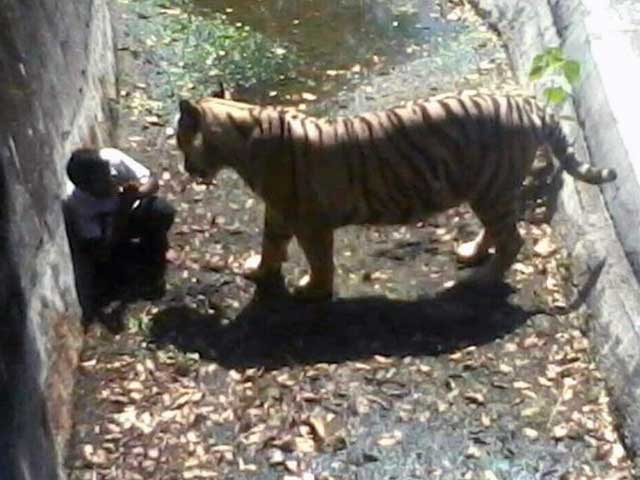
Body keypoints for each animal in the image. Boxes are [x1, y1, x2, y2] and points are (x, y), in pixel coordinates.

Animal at [176, 90, 616, 301]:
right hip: (487, 191)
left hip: (492, 190)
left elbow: (319, 261)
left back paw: (482, 278)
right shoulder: (280, 212)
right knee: (498, 232)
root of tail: (529, 105)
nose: (184, 168)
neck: (243, 135)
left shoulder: (309, 221)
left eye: (181, 140)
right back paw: (471, 254)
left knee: (514, 239)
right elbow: (270, 245)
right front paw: (259, 271)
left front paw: (312, 291)